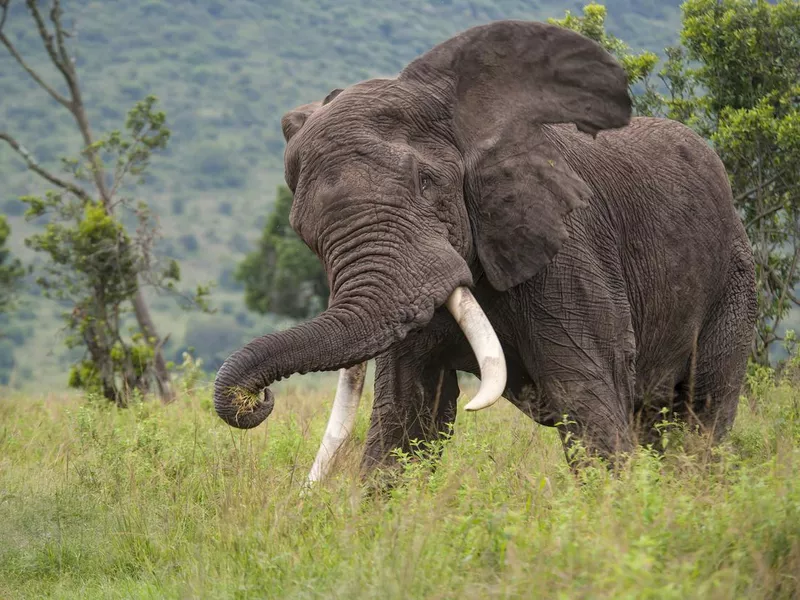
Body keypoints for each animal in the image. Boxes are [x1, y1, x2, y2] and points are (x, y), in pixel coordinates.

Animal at [212, 19, 756, 482]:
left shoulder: (569, 254)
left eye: (427, 183)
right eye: (304, 232)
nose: (255, 400)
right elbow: (406, 417)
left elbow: (586, 398)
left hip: (734, 279)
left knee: (701, 414)